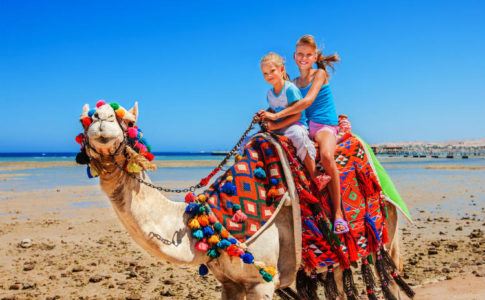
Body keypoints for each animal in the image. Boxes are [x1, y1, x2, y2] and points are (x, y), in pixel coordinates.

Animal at [80, 102, 404, 298]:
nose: (101, 119)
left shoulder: (263, 282)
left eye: (129, 120)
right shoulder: (230, 283)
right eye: (86, 120)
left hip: (384, 230)